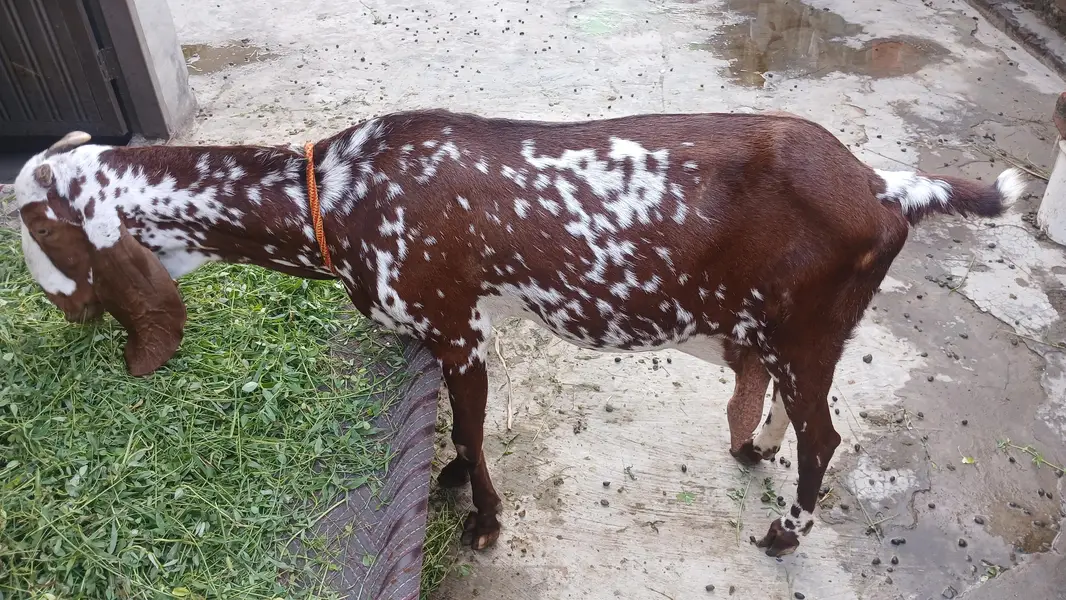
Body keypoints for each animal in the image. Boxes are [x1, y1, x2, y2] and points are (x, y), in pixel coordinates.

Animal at [14, 109, 1028, 557]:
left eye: (40, 233)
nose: (64, 316)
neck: (337, 196)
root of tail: (886, 189)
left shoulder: (458, 329)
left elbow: (469, 424)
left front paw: (483, 521)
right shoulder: (452, 330)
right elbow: (461, 433)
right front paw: (453, 483)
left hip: (808, 329)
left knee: (826, 436)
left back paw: (785, 532)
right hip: (794, 335)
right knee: (789, 409)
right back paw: (756, 452)